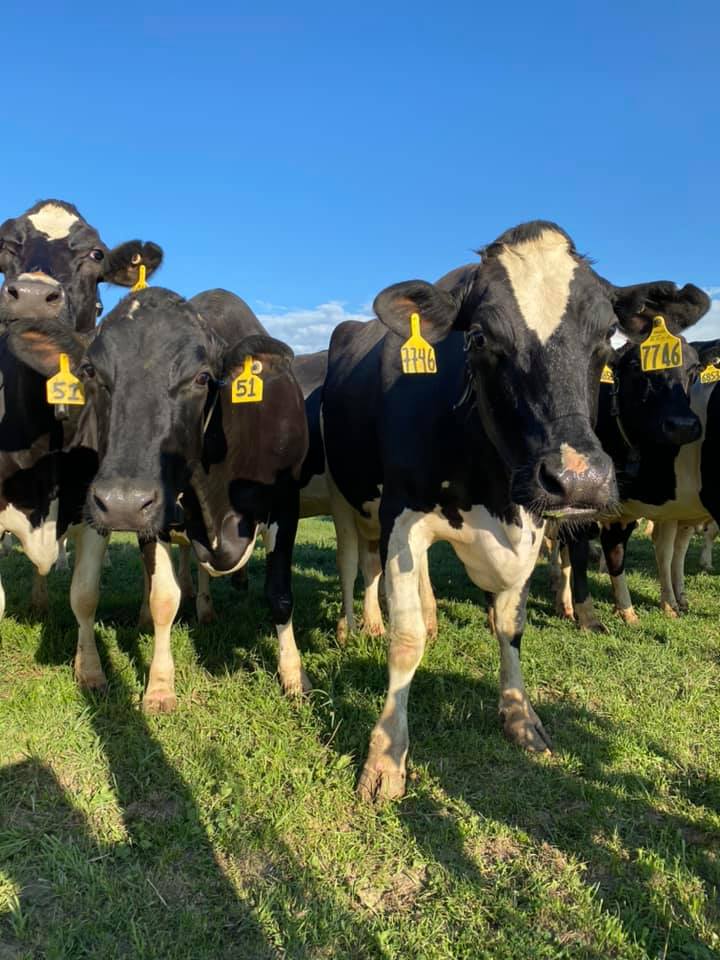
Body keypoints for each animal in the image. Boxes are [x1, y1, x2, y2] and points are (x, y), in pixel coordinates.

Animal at [68, 287, 309, 711]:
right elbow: (164, 597)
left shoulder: (286, 502)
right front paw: (160, 687)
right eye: (90, 371)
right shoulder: (158, 516)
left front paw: (294, 677)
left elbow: (280, 594)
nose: (123, 502)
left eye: (202, 378)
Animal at [321, 219, 705, 801]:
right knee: (354, 565)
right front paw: (385, 758)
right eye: (480, 338)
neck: (491, 484)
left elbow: (510, 623)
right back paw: (357, 625)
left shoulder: (531, 525)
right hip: (348, 503)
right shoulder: (400, 515)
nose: (578, 478)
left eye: (607, 339)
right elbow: (405, 639)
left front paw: (520, 717)